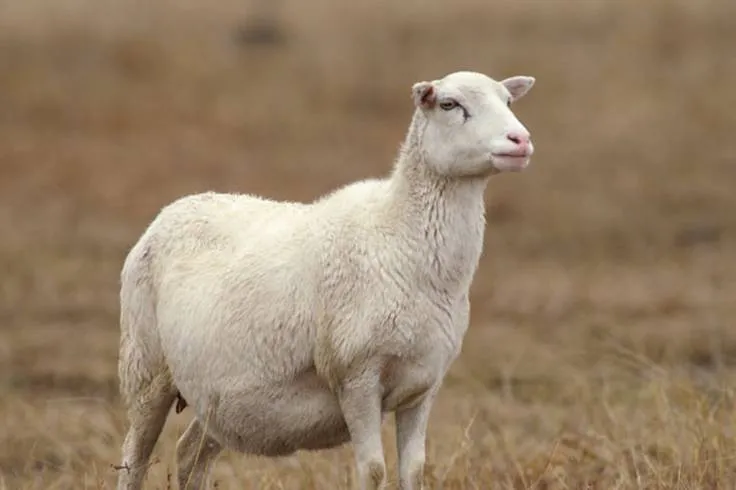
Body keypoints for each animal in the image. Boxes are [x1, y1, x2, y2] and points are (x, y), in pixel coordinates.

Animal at [118, 70, 536, 490]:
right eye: (449, 104)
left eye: (508, 102)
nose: (521, 140)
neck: (400, 236)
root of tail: (175, 207)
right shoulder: (357, 378)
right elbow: (373, 470)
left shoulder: (424, 384)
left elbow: (414, 470)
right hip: (145, 367)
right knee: (133, 457)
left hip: (219, 399)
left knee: (190, 453)